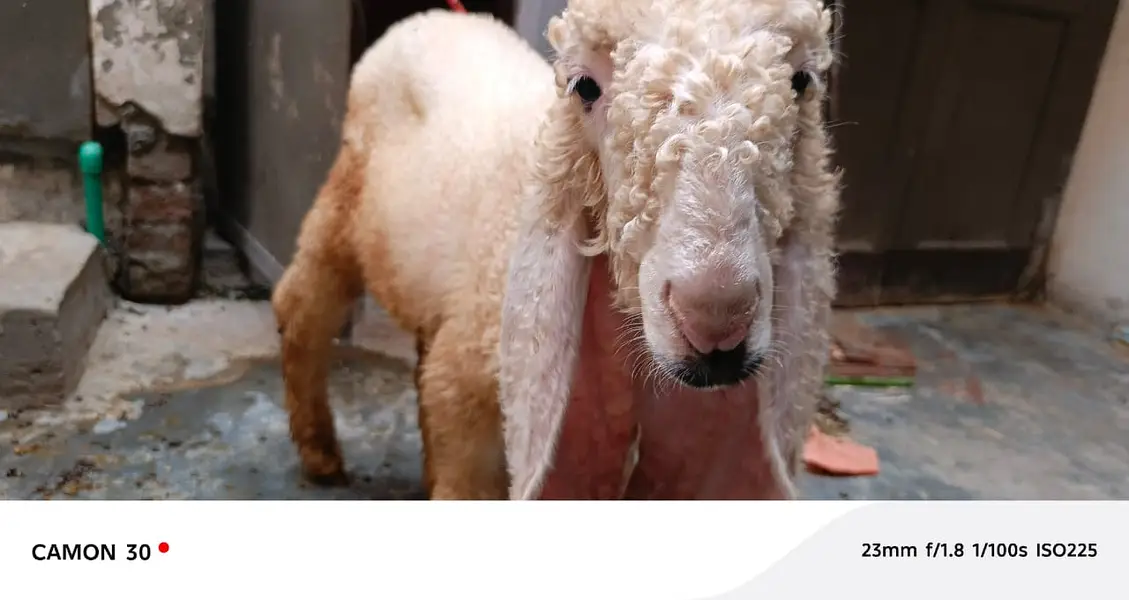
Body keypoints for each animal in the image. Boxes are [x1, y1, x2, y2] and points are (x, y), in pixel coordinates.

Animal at [272, 0, 840, 500]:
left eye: (801, 82)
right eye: (584, 86)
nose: (716, 316)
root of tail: (435, 17)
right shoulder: (472, 398)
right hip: (344, 203)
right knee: (302, 304)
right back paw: (320, 452)